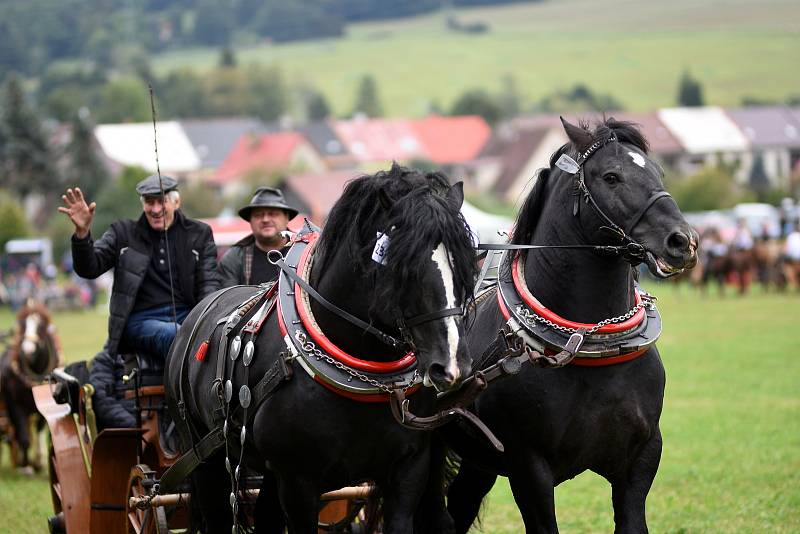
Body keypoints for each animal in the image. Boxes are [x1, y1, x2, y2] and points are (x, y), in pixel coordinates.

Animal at [0, 302, 62, 474]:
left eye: (40, 326)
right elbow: (23, 437)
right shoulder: (16, 406)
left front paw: (38, 461)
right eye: (22, 325)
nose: (27, 349)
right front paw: (26, 466)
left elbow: (40, 428)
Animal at [162, 165, 476, 532]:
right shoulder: (298, 483)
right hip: (205, 457)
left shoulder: (408, 471)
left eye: (465, 263)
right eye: (404, 266)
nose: (451, 365)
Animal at [440, 119, 696, 532]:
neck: (587, 342)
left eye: (658, 172)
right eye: (611, 176)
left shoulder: (640, 460)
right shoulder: (529, 469)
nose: (683, 241)